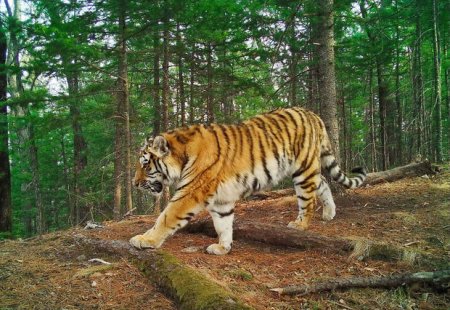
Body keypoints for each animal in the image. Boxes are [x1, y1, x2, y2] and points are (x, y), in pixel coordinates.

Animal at [129, 108, 366, 256]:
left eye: (145, 165)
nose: (134, 183)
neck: (182, 155)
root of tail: (313, 114)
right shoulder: (221, 199)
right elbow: (223, 224)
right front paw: (223, 248)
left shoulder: (190, 192)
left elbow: (165, 218)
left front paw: (145, 240)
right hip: (306, 169)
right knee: (324, 182)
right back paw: (329, 213)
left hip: (303, 168)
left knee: (309, 200)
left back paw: (300, 224)